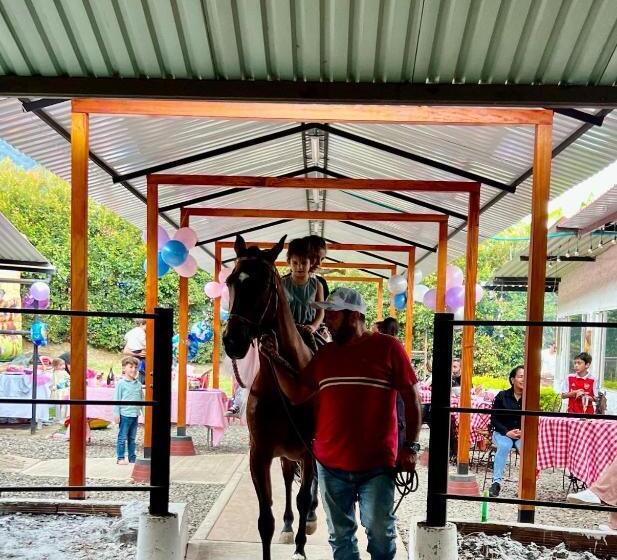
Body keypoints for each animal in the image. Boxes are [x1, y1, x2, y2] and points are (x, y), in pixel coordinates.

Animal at [223, 235, 318, 560]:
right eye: (230, 281)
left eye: (263, 284)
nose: (232, 341)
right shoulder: (260, 454)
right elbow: (266, 519)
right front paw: (285, 529)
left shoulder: (309, 452)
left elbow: (304, 498)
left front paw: (302, 545)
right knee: (288, 479)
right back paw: (289, 526)